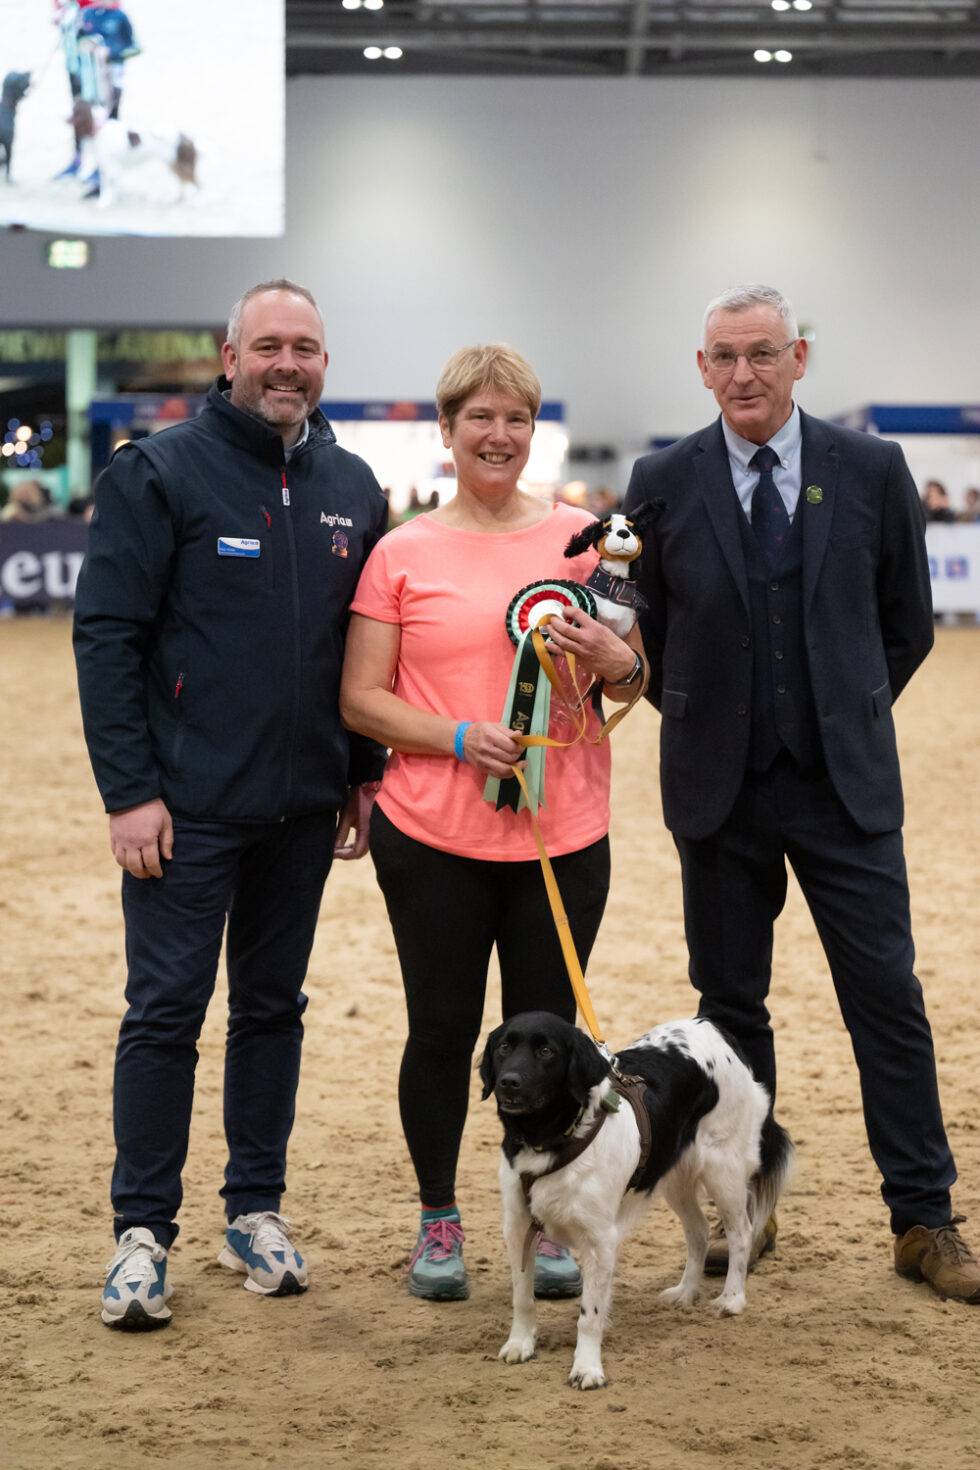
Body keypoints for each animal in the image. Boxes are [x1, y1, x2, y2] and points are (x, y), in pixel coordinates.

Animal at [481, 1011, 799, 1387]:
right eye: (504, 1047)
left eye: (547, 1051)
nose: (508, 1082)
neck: (548, 1141)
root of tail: (711, 1026)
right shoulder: (518, 1227)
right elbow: (522, 1297)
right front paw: (520, 1344)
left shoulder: (600, 1240)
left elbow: (589, 1314)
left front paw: (587, 1368)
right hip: (673, 1174)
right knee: (699, 1230)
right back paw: (686, 1291)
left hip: (724, 1170)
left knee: (741, 1233)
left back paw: (732, 1299)